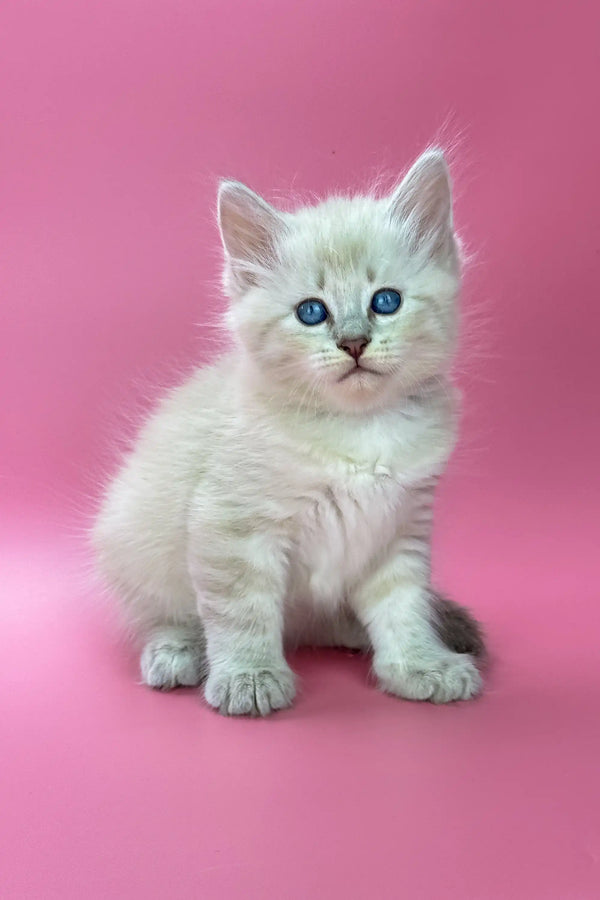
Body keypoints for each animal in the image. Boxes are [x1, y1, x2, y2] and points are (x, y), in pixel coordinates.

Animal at [95, 149, 488, 716]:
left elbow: (404, 607)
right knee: (169, 617)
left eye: (385, 302)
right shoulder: (231, 526)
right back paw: (177, 653)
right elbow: (242, 613)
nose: (353, 342)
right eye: (311, 312)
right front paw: (249, 676)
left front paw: (419, 664)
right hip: (134, 542)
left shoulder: (397, 530)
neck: (356, 432)